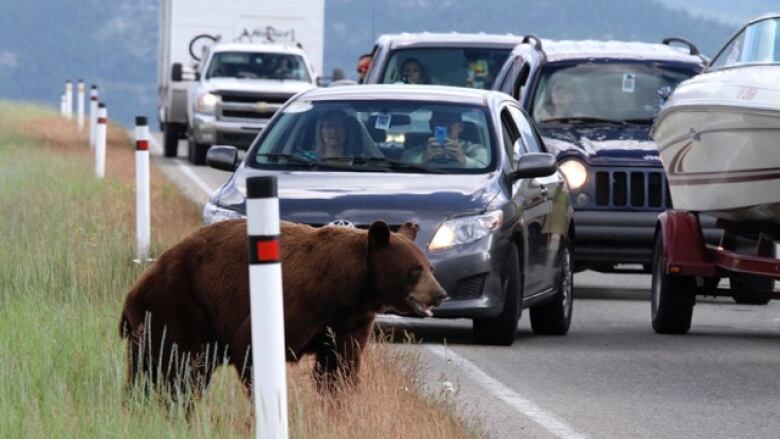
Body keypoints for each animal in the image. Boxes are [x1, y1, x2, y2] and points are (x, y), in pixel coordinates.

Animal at [117, 219, 444, 398]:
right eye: (415, 269)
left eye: (430, 266)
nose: (440, 293)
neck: (345, 290)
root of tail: (134, 289)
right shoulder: (297, 302)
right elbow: (251, 349)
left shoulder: (349, 322)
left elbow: (339, 366)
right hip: (179, 307)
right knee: (180, 369)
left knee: (147, 370)